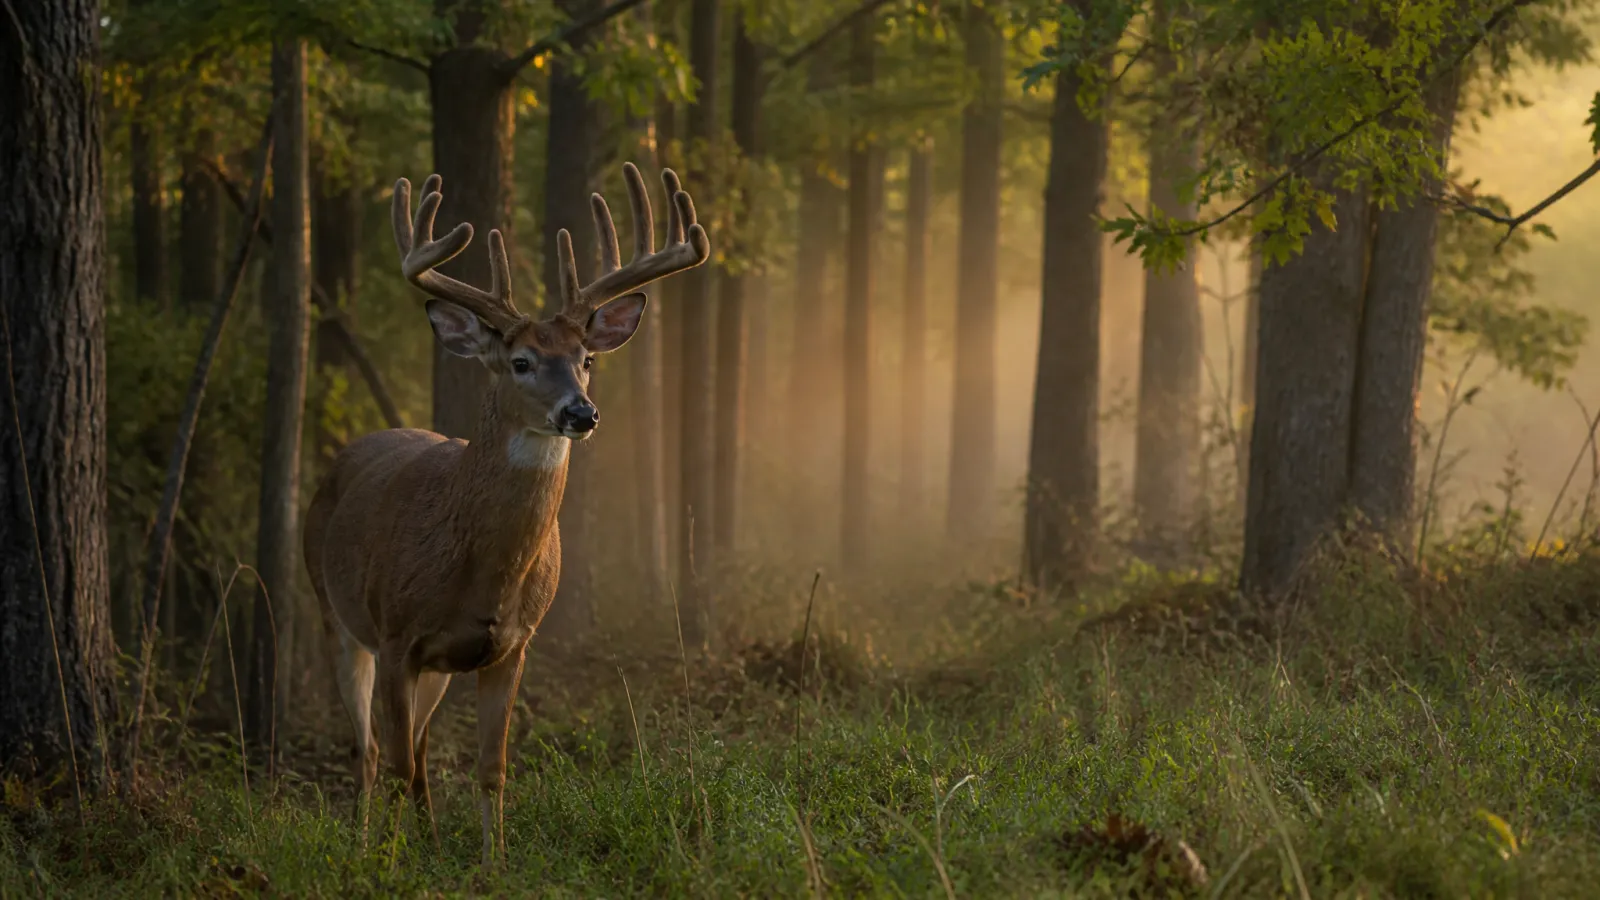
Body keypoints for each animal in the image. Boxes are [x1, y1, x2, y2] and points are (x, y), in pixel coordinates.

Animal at [302, 162, 709, 866]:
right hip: (337, 615)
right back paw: (363, 845)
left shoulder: (514, 643)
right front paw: (395, 863)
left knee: (416, 748)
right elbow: (397, 763)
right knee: (372, 751)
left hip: (432, 666)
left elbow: (490, 768)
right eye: (521, 362)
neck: (480, 569)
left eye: (587, 359)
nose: (581, 412)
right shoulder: (396, 636)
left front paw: (490, 862)